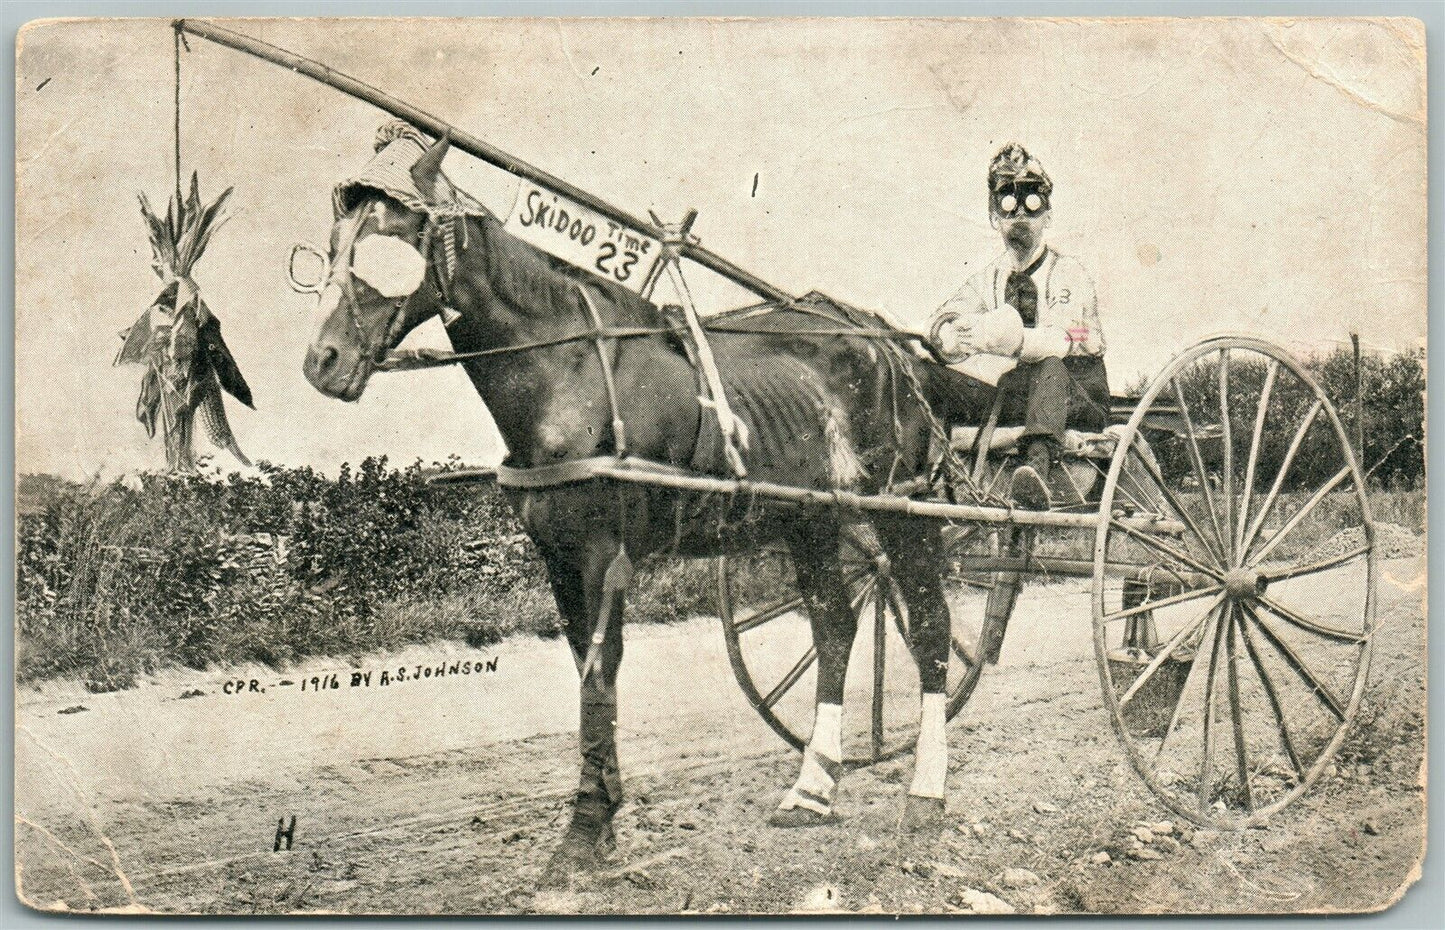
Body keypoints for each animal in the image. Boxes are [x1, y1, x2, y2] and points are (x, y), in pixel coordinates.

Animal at [293, 129, 994, 878]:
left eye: (390, 239)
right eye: (328, 246)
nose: (322, 361)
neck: (570, 373)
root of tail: (890, 346)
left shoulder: (603, 553)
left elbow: (601, 673)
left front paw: (584, 825)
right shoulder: (558, 556)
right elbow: (587, 668)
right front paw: (600, 811)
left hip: (901, 508)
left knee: (929, 631)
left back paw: (925, 794)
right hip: (807, 516)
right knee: (834, 627)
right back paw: (812, 788)